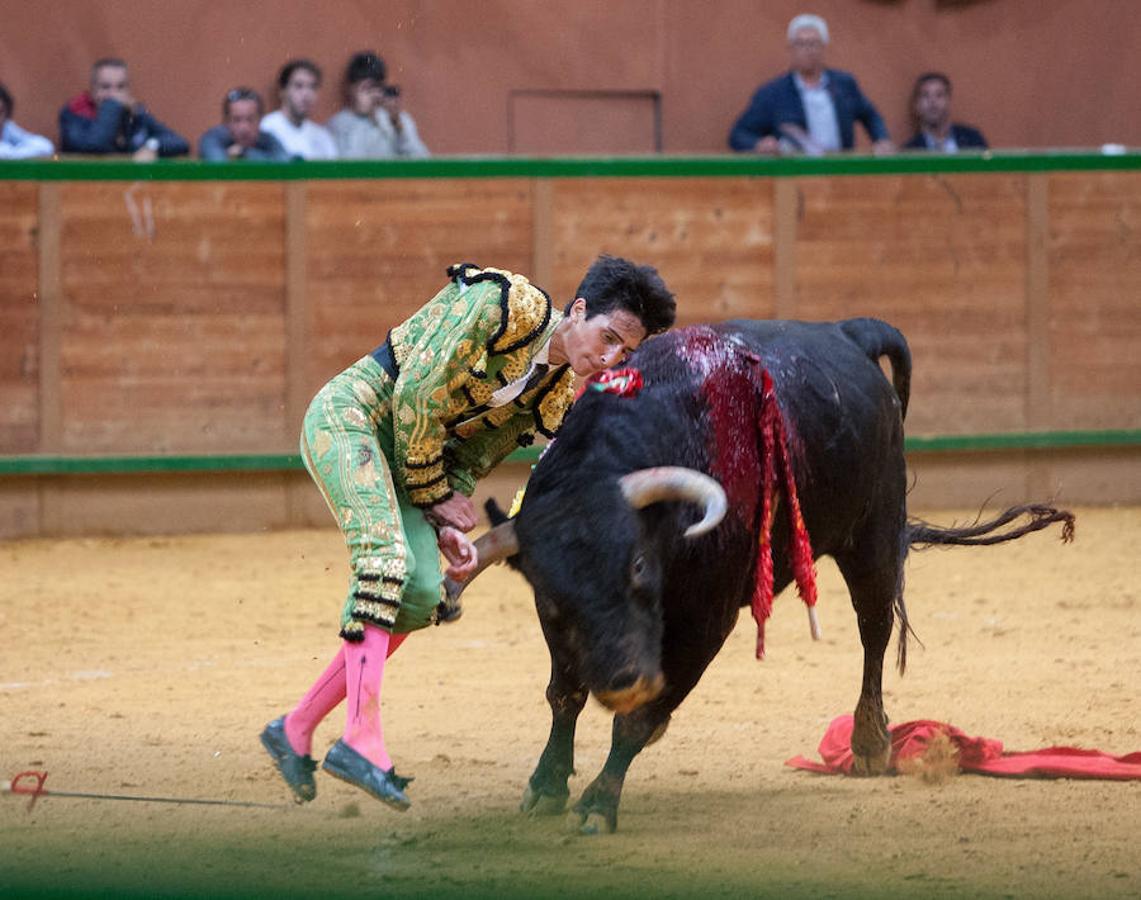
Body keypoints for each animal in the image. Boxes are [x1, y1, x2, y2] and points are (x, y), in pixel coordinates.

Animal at [449, 317, 1072, 834]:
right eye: (553, 592)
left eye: (639, 564)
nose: (625, 680)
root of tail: (847, 332)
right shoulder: (562, 627)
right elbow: (565, 695)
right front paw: (547, 785)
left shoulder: (706, 620)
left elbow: (635, 722)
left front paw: (600, 803)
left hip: (872, 536)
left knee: (874, 631)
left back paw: (870, 742)